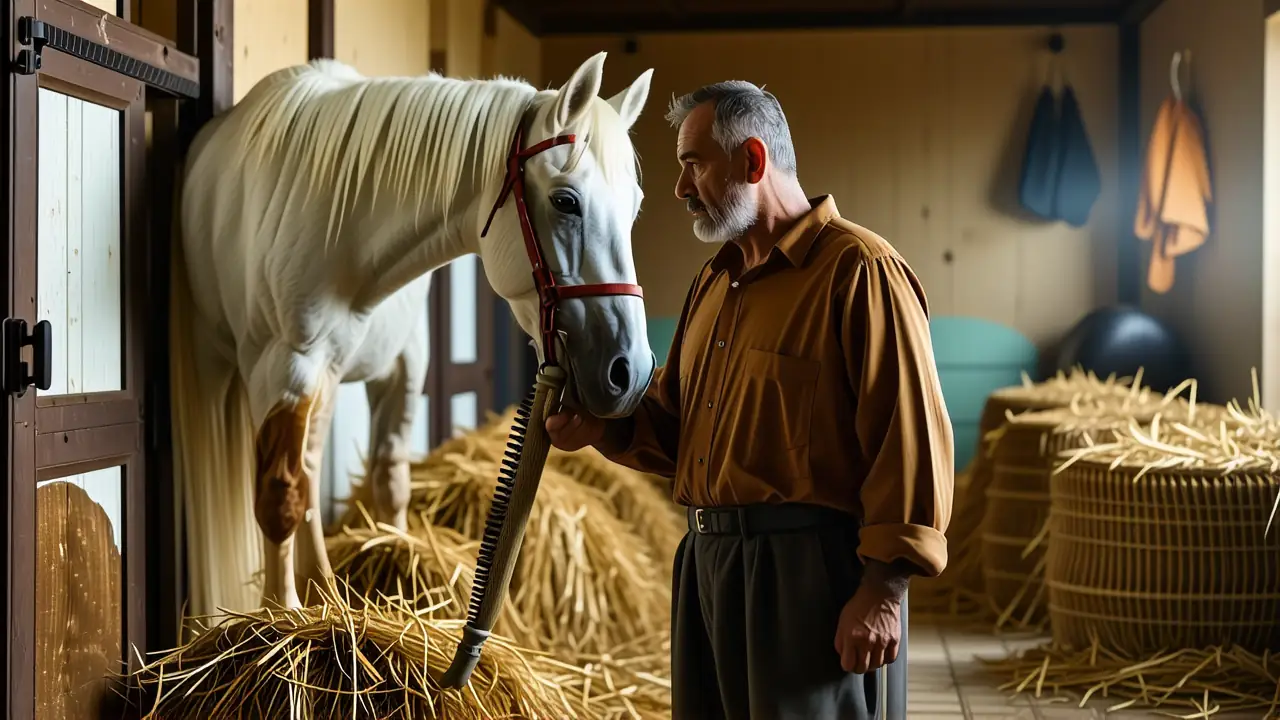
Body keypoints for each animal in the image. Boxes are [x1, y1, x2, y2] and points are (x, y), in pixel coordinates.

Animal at [170, 52, 657, 616]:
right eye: (565, 201)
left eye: (635, 205)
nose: (630, 371)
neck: (344, 232)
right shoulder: (285, 368)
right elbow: (278, 496)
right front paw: (281, 615)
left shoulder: (402, 366)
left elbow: (388, 480)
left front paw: (389, 558)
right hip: (226, 365)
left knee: (312, 466)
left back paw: (321, 584)